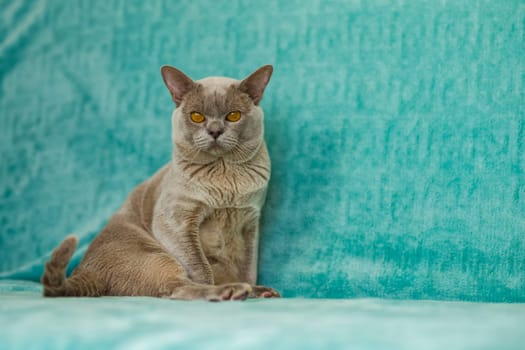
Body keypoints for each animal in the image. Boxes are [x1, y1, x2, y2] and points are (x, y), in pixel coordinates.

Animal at [41, 63, 280, 300]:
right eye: (196, 116)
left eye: (233, 116)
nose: (215, 131)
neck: (226, 177)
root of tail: (83, 270)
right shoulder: (176, 221)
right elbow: (201, 268)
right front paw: (225, 287)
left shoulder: (250, 222)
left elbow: (248, 269)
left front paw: (253, 288)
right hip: (153, 253)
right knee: (175, 287)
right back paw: (231, 291)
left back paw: (260, 291)